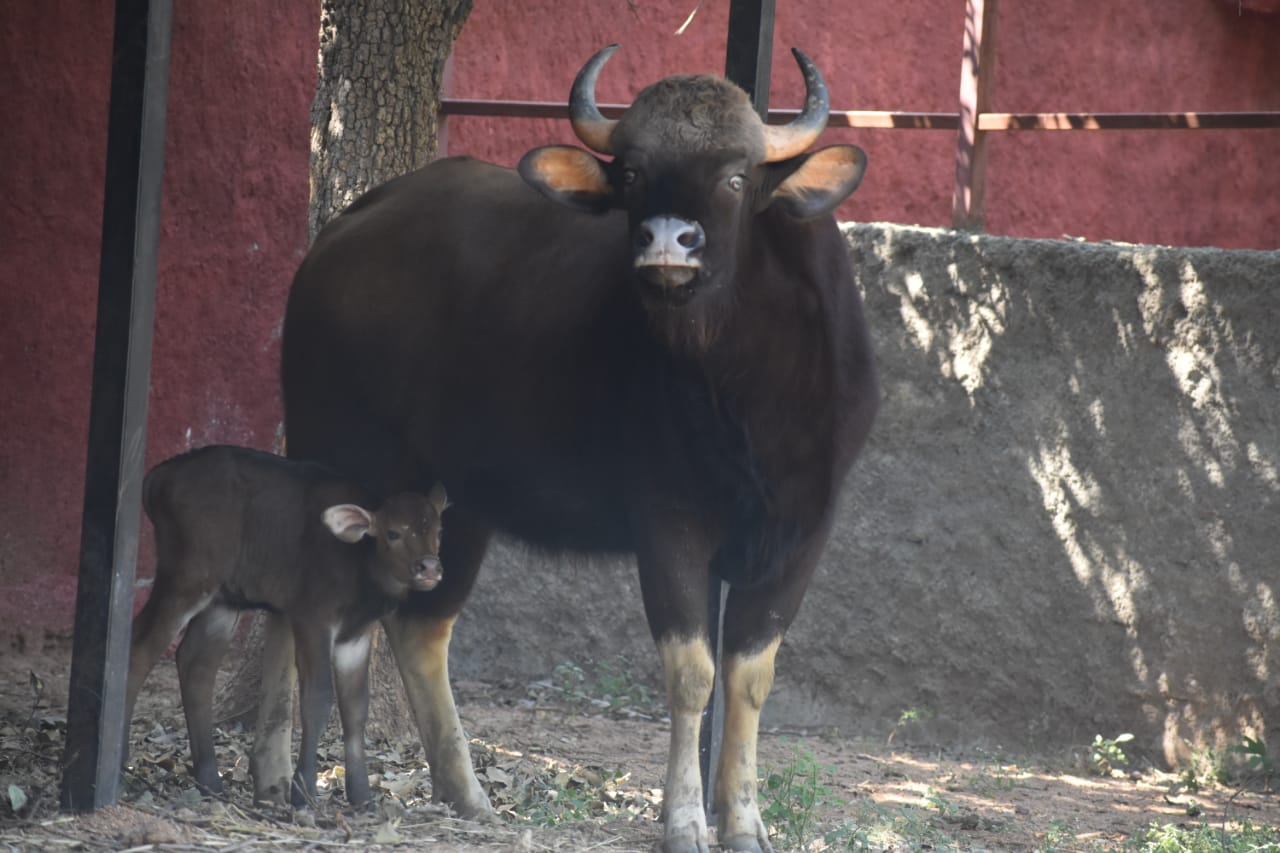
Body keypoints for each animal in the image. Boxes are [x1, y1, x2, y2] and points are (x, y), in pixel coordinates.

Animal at [124, 440, 445, 809]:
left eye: (438, 530)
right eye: (392, 533)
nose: (429, 567)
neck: (360, 571)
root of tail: (157, 477)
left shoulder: (357, 633)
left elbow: (356, 706)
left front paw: (362, 796)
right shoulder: (311, 617)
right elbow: (316, 698)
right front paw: (303, 791)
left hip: (223, 599)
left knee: (196, 664)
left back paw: (209, 780)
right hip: (185, 580)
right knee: (139, 648)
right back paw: (119, 768)